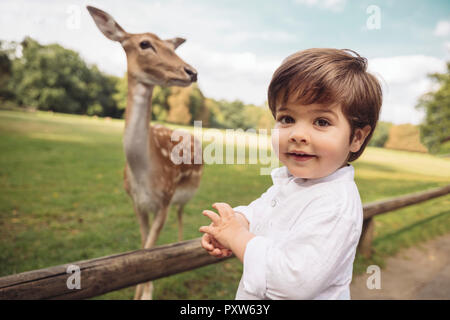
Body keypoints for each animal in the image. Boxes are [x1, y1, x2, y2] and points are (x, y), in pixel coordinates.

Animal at [87, 5, 203, 300]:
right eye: (144, 44)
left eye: (171, 47)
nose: (191, 71)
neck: (143, 175)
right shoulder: (137, 204)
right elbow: (142, 251)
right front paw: (141, 292)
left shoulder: (164, 200)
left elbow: (151, 250)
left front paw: (147, 292)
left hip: (184, 194)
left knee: (182, 213)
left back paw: (181, 244)